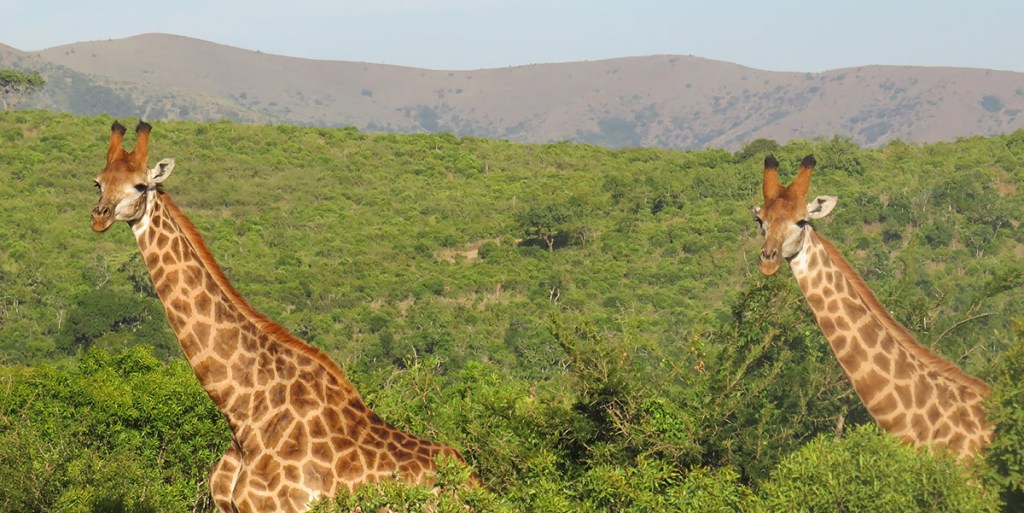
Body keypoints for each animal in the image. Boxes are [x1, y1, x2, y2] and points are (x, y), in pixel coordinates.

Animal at [91, 121, 470, 512]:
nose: (100, 216)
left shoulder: (280, 507)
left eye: (140, 185)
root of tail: (474, 480)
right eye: (98, 182)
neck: (242, 412)